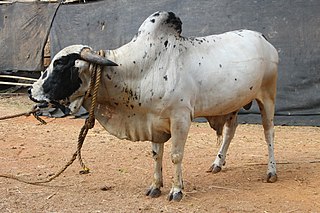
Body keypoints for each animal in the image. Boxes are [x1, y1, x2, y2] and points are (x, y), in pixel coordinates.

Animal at [29, 11, 278, 201]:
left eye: (60, 64)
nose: (31, 91)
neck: (142, 69)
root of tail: (264, 38)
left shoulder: (180, 119)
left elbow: (176, 155)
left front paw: (177, 190)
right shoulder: (153, 122)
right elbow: (156, 155)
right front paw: (155, 186)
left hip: (267, 97)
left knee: (268, 134)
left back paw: (271, 171)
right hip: (232, 104)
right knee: (230, 131)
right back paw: (217, 163)